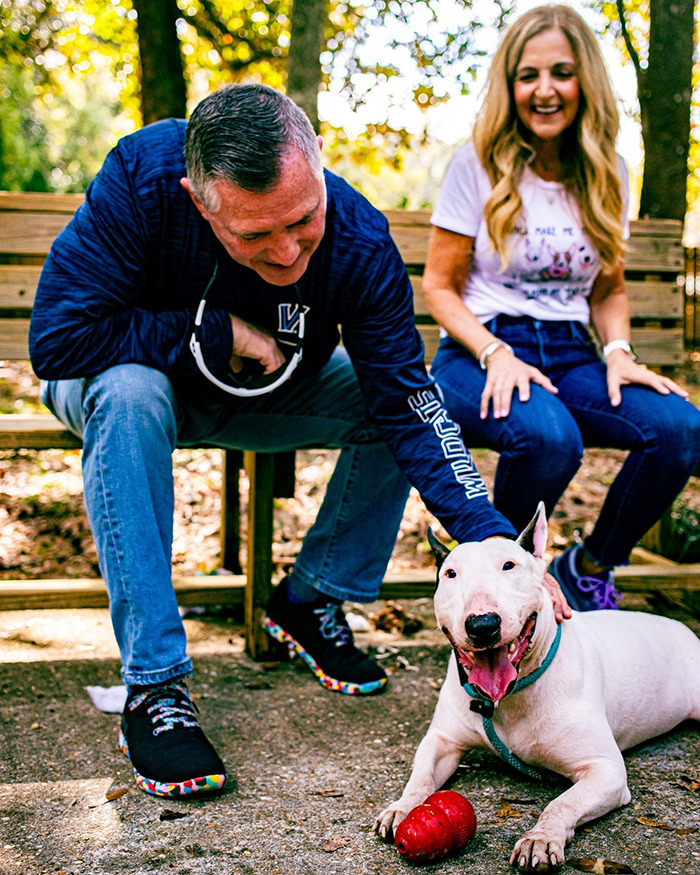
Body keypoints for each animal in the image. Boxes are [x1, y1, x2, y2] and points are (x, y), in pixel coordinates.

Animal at [374, 506, 696, 868]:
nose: (482, 625)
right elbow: (421, 777)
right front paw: (402, 807)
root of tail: (681, 627)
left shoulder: (605, 770)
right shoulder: (442, 740)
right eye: (451, 574)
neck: (507, 697)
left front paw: (540, 838)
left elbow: (562, 803)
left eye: (509, 565)